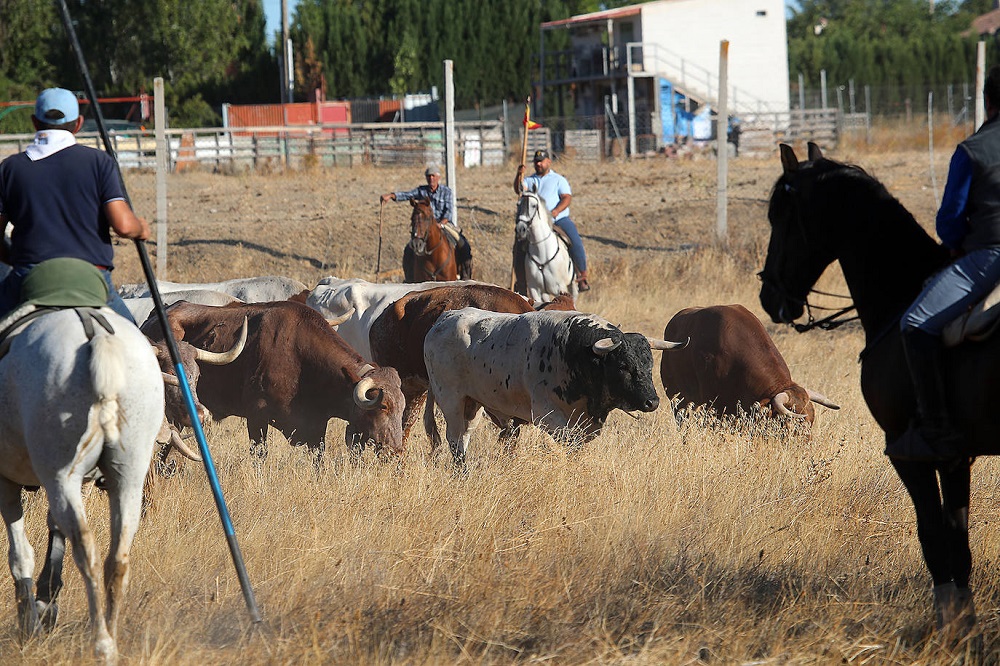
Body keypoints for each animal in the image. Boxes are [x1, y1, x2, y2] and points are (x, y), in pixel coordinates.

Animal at [0, 308, 162, 660]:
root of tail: (96, 333)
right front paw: (44, 607)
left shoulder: (7, 481)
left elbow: (20, 555)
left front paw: (31, 622)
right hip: (127, 478)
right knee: (117, 558)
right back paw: (110, 635)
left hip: (62, 475)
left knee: (86, 551)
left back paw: (101, 642)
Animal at [756, 141, 992, 632]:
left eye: (779, 216)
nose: (769, 297)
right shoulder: (957, 456)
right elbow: (958, 543)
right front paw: (963, 626)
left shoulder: (909, 450)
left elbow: (934, 537)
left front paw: (948, 625)